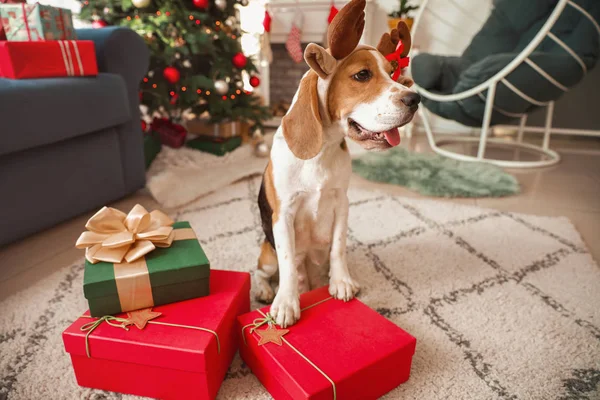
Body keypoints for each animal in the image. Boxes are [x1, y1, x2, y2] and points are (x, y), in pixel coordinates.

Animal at [255, 0, 420, 326]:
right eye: (362, 75)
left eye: (393, 73)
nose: (415, 99)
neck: (323, 150)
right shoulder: (283, 214)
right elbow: (287, 262)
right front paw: (286, 302)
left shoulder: (342, 203)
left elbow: (338, 248)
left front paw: (341, 281)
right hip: (266, 254)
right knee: (261, 271)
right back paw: (267, 291)